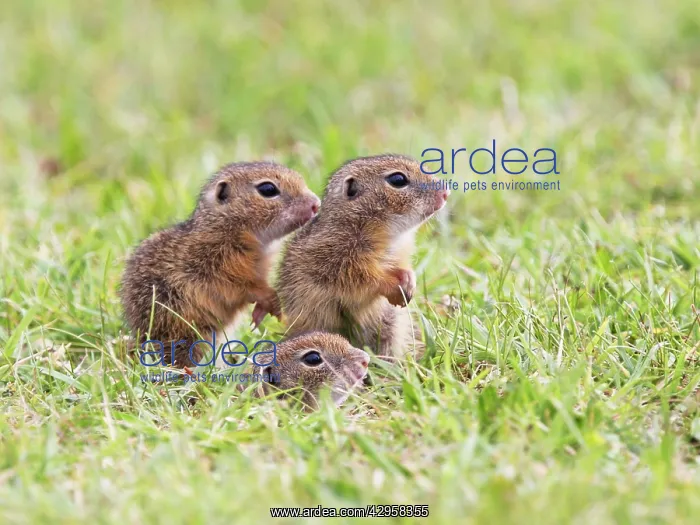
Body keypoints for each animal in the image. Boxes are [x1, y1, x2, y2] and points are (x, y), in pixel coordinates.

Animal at [120, 161, 320, 367]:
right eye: (267, 189)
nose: (316, 204)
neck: (224, 227)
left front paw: (263, 311)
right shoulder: (216, 268)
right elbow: (242, 288)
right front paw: (270, 300)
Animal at [277, 154, 449, 358]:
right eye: (398, 180)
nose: (446, 193)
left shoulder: (400, 253)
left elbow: (402, 267)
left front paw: (409, 280)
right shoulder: (335, 261)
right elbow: (362, 280)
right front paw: (392, 285)